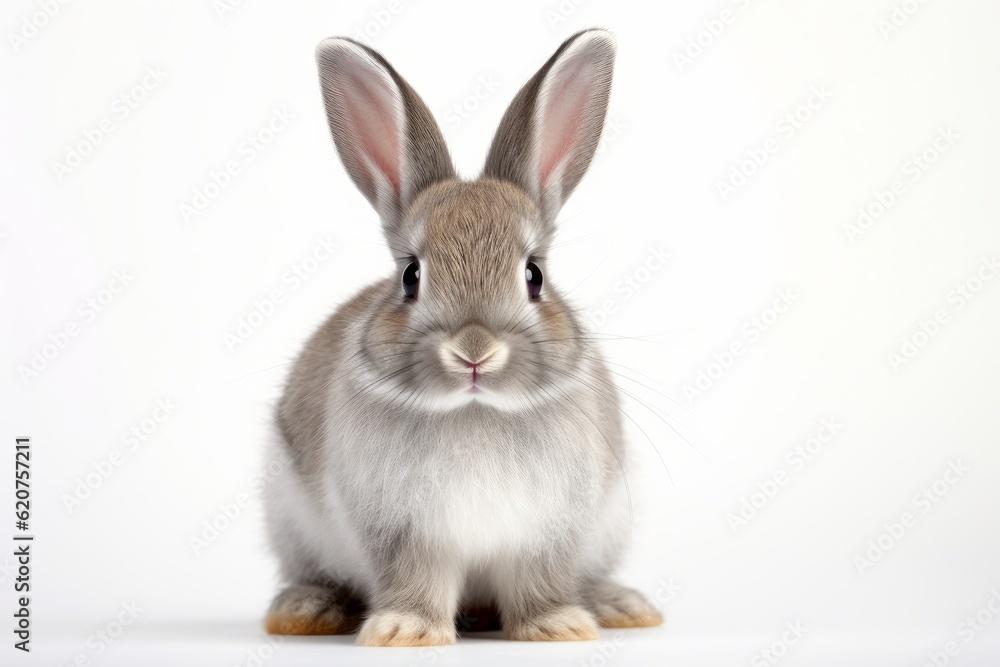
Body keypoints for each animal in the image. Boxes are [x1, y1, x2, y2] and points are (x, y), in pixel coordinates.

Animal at [262, 27, 660, 648]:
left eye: (534, 275)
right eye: (411, 275)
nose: (475, 353)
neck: (476, 413)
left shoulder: (550, 530)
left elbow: (539, 580)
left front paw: (557, 627)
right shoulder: (403, 532)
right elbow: (416, 578)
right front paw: (404, 632)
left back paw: (618, 605)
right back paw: (306, 610)